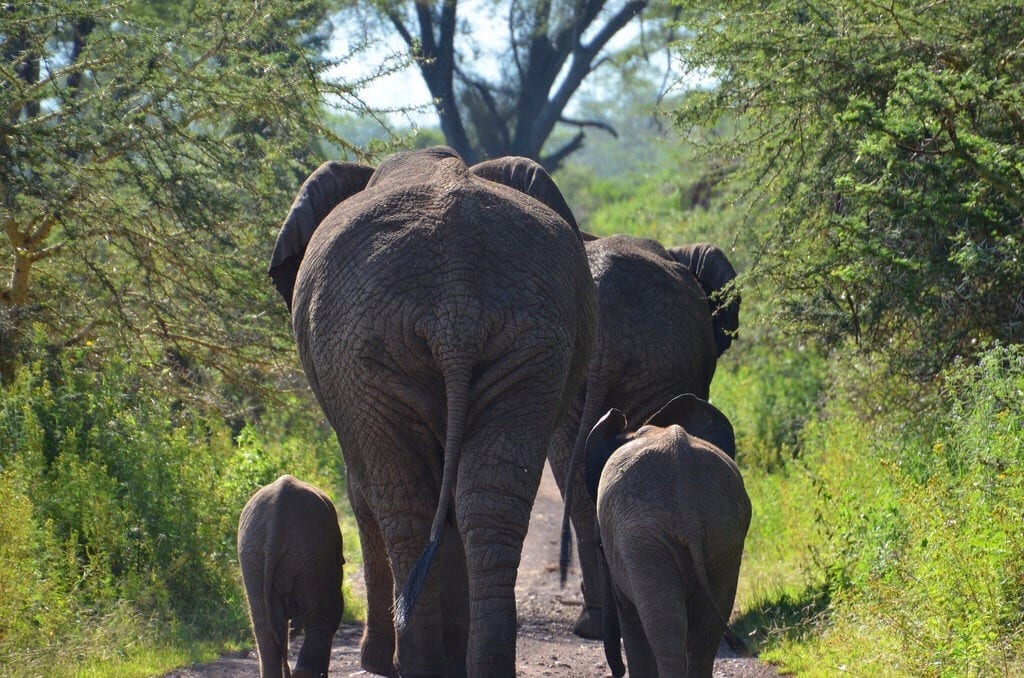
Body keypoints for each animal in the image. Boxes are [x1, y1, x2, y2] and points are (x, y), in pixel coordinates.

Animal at [268, 146, 596, 677]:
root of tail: (456, 310)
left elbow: (362, 492)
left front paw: (382, 662)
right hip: (532, 340)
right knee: (489, 497)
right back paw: (481, 664)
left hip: (365, 344)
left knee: (404, 499)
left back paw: (412, 663)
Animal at [585, 395, 751, 677]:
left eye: (599, 545)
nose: (616, 671)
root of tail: (688, 515)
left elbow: (630, 617)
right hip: (724, 534)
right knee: (706, 629)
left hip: (644, 539)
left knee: (664, 625)